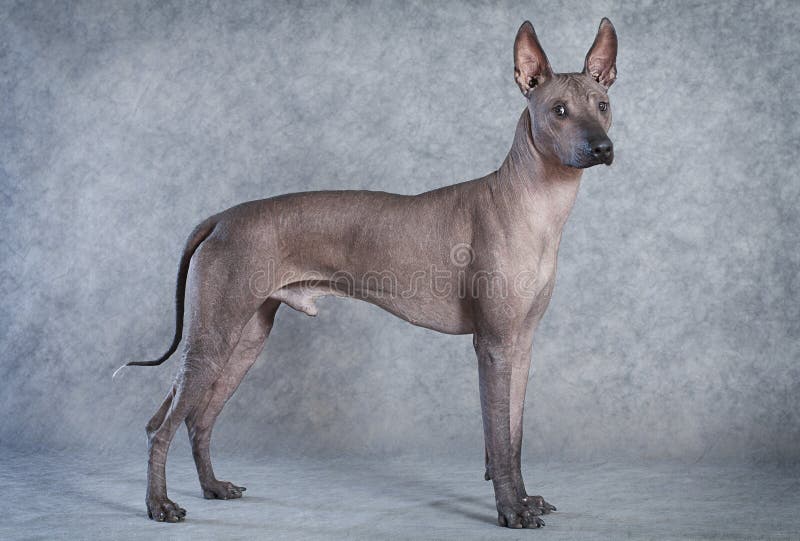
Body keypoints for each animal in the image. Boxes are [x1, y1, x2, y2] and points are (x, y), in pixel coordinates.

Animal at [119, 17, 620, 528]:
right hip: (214, 336)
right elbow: (499, 441)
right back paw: (159, 505)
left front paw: (524, 499)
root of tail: (222, 216)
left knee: (198, 419)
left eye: (602, 105)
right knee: (161, 426)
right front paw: (509, 510)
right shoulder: (494, 346)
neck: (534, 205)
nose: (602, 147)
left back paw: (212, 487)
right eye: (559, 110)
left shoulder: (521, 346)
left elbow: (515, 438)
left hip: (245, 340)